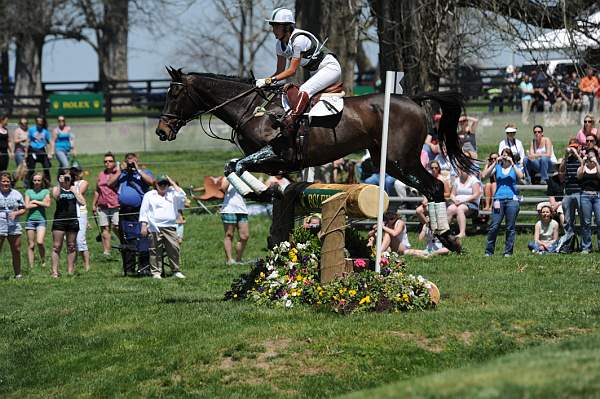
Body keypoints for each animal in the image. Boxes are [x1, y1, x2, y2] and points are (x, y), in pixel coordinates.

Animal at [157, 67, 476, 252]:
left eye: (175, 94)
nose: (161, 131)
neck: (251, 109)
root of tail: (413, 99)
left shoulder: (276, 156)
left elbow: (237, 165)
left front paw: (259, 192)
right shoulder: (273, 161)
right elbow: (234, 167)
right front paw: (263, 192)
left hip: (402, 159)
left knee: (434, 186)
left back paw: (448, 237)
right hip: (390, 161)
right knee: (430, 188)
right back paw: (447, 237)